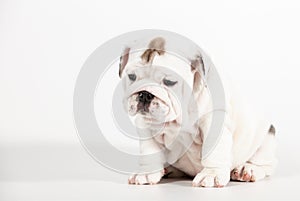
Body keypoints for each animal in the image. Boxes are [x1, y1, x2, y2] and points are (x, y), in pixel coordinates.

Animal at [118, 35, 278, 187]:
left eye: (170, 82)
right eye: (131, 76)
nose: (145, 94)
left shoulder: (213, 121)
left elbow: (214, 152)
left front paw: (212, 174)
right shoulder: (145, 125)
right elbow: (148, 150)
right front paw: (145, 173)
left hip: (266, 138)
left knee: (265, 164)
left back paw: (247, 169)